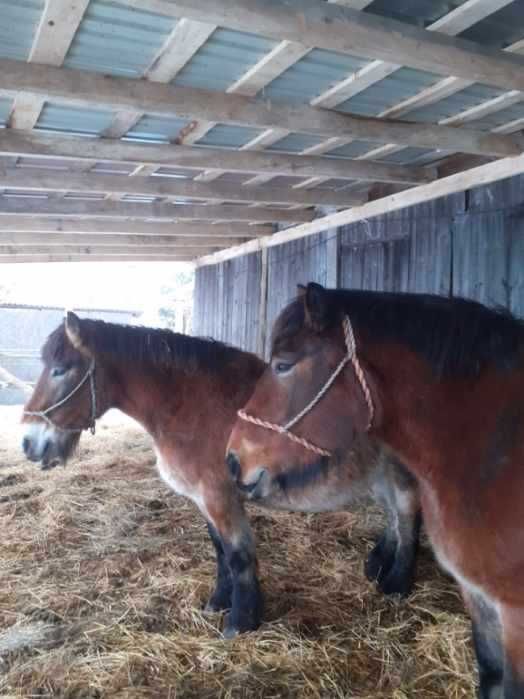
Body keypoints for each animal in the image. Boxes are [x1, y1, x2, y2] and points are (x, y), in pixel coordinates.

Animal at [21, 312, 422, 640]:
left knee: (407, 517)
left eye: (60, 369)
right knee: (393, 517)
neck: (189, 406)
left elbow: (238, 555)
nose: (28, 443)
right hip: (377, 475)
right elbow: (220, 552)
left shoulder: (220, 498)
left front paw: (240, 622)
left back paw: (397, 584)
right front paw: (219, 603)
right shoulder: (206, 500)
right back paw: (377, 566)